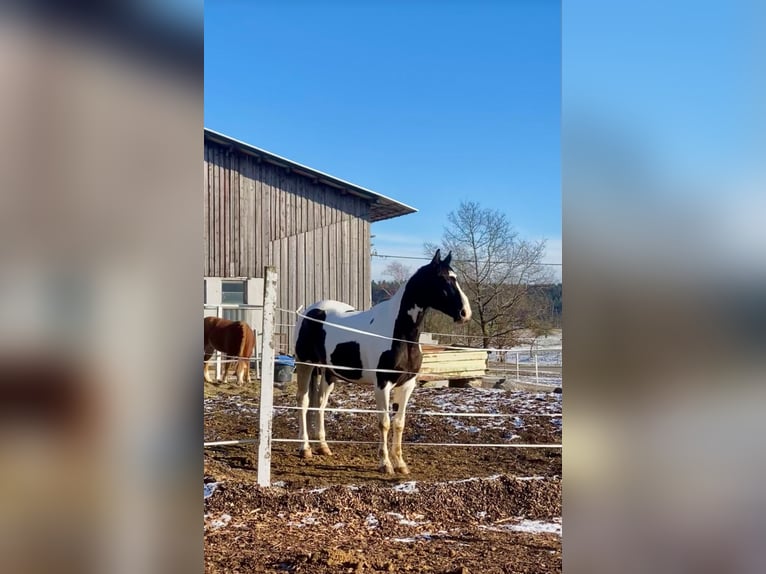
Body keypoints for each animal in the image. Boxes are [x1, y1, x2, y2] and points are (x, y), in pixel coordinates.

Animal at [296, 251, 472, 476]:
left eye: (454, 277)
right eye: (442, 279)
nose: (465, 313)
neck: (400, 335)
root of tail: (310, 311)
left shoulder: (407, 384)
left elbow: (399, 423)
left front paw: (401, 464)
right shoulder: (382, 385)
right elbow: (385, 423)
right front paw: (385, 464)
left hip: (329, 373)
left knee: (320, 404)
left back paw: (323, 447)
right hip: (305, 364)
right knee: (303, 402)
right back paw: (305, 449)